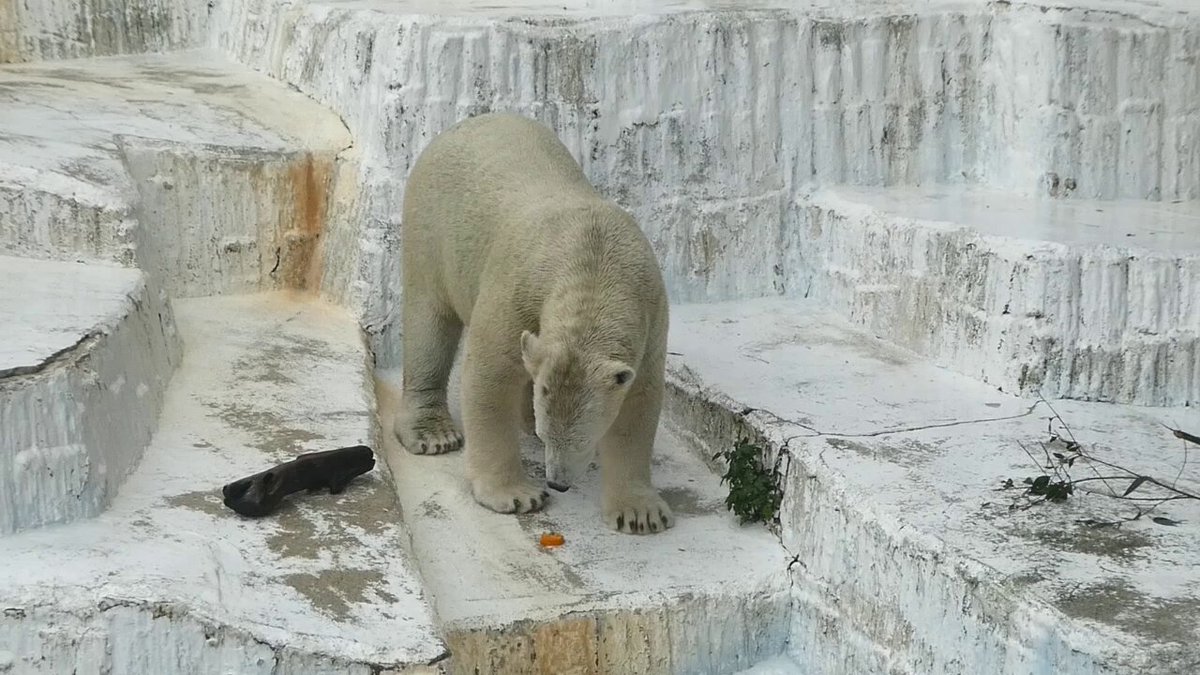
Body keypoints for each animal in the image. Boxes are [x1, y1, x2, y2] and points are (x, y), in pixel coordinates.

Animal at [393, 112, 674, 535]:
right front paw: (516, 494)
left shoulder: (651, 317)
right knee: (430, 321)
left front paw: (639, 513)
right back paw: (433, 432)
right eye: (548, 435)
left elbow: (638, 403)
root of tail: (463, 125)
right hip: (431, 226)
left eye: (584, 440)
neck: (595, 260)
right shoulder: (517, 292)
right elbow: (489, 376)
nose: (557, 482)